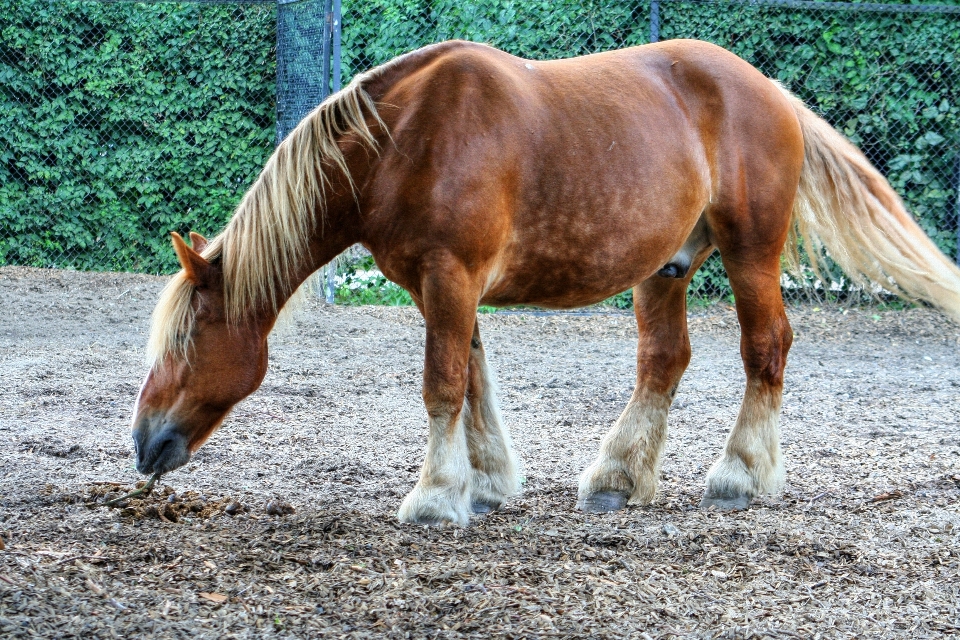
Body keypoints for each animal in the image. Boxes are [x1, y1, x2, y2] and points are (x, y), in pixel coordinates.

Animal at [131, 38, 960, 524]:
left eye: (189, 338)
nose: (142, 444)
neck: (402, 141)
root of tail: (771, 90)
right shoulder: (447, 287)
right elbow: (472, 380)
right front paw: (488, 482)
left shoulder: (448, 278)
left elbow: (443, 384)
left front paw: (435, 495)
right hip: (665, 268)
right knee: (664, 361)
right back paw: (619, 478)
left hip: (750, 250)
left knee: (767, 347)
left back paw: (739, 475)